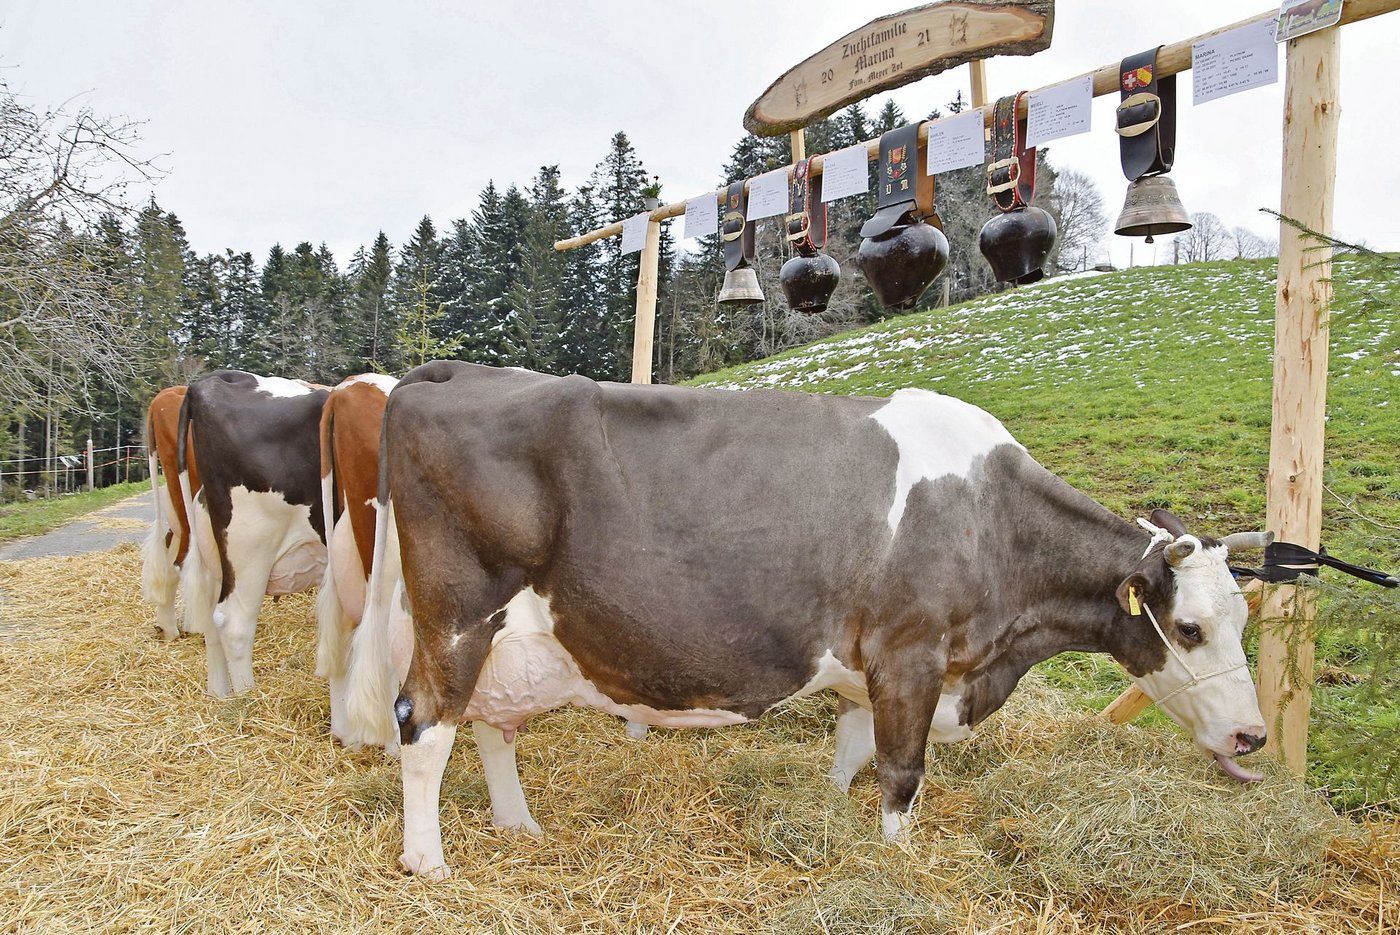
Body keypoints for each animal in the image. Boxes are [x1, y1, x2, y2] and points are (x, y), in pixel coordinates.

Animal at [178, 370, 329, 697]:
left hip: (216, 554)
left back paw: (220, 697)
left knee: (211, 623)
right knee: (235, 623)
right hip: (251, 546)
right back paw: (248, 698)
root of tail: (209, 382)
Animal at [346, 362, 1270, 880]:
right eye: (1190, 628)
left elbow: (851, 756)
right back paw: (428, 861)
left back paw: (518, 823)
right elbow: (901, 774)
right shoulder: (911, 652)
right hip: (460, 614)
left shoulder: (873, 669)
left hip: (510, 637)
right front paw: (898, 864)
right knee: (423, 724)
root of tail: (448, 374)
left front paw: (833, 825)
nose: (1255, 735)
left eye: (1243, 620)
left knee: (488, 723)